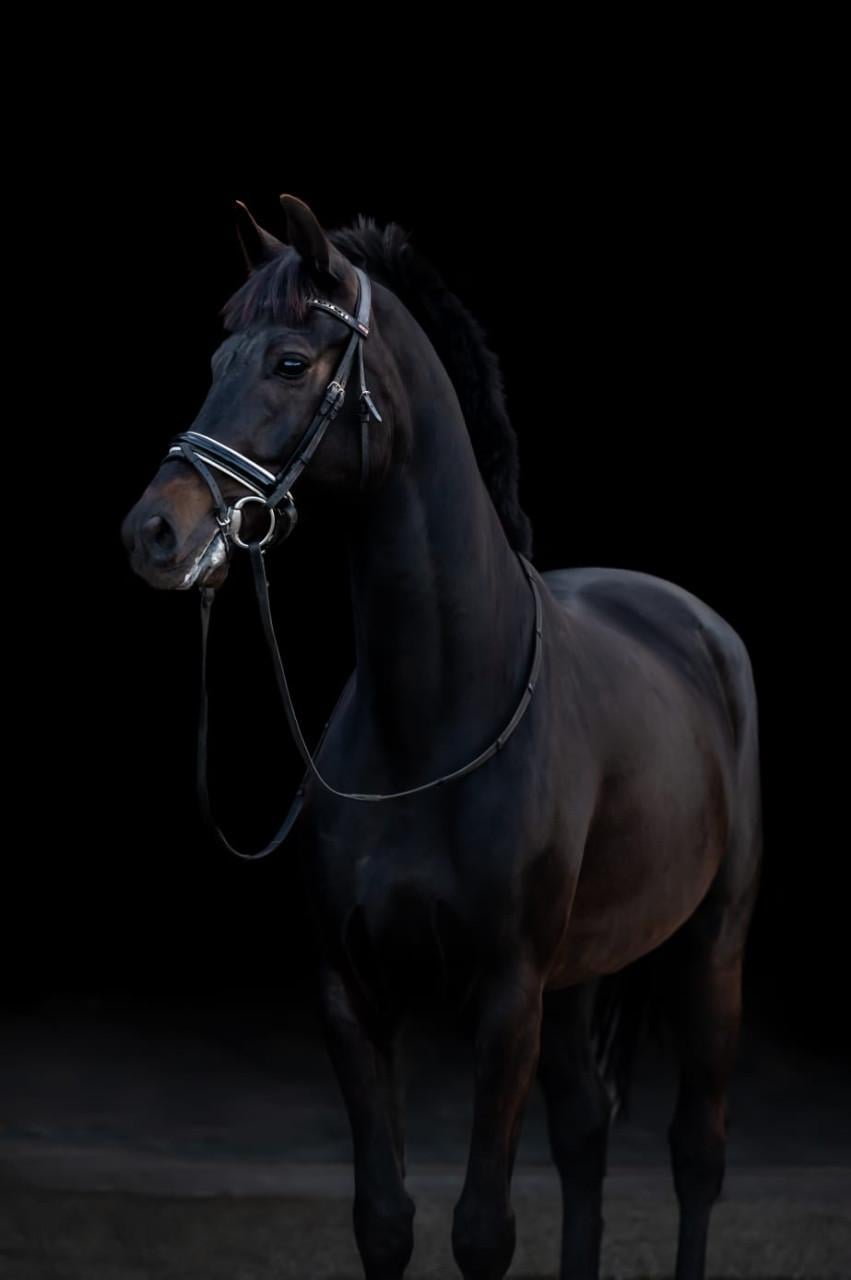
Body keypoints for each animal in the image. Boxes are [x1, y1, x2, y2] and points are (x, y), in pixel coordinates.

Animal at [121, 194, 763, 1280]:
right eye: (215, 359)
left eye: (290, 361)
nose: (155, 532)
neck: (428, 722)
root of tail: (694, 624)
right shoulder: (352, 994)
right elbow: (385, 1219)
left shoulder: (504, 996)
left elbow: (481, 1229)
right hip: (580, 978)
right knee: (585, 1137)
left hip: (709, 946)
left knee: (697, 1154)